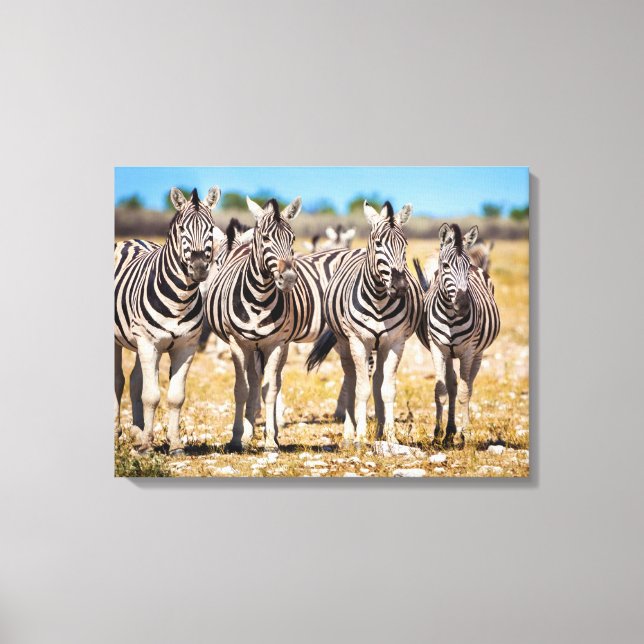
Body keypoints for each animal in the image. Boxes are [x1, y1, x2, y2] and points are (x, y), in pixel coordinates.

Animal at [114, 186, 224, 455]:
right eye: (182, 229)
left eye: (210, 228)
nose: (199, 268)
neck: (180, 299)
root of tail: (131, 240)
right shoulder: (148, 343)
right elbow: (151, 395)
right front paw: (147, 446)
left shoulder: (186, 346)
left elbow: (175, 397)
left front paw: (174, 444)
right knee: (119, 381)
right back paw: (119, 433)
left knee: (135, 380)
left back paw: (138, 432)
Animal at [306, 201, 423, 446]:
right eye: (378, 243)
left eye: (405, 244)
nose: (400, 287)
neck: (379, 299)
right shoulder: (359, 341)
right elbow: (361, 389)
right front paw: (360, 436)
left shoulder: (395, 342)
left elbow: (387, 389)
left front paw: (390, 436)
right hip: (344, 343)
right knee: (350, 380)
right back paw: (349, 433)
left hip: (381, 346)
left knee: (377, 379)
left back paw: (378, 431)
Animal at [414, 223, 500, 446]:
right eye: (446, 266)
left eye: (467, 266)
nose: (463, 306)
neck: (451, 316)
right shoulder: (437, 348)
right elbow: (441, 391)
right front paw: (437, 433)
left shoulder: (468, 351)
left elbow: (464, 392)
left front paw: (466, 434)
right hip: (449, 353)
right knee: (452, 385)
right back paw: (449, 432)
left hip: (477, 353)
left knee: (468, 385)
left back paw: (459, 431)